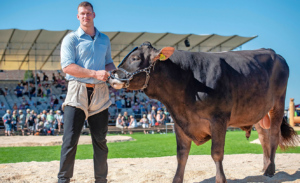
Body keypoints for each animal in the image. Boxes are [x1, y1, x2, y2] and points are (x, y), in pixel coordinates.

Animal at [108, 41, 298, 183]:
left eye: (135, 57)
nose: (112, 75)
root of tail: (275, 53)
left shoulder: (219, 119)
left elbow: (216, 153)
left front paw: (221, 179)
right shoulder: (180, 122)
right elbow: (181, 155)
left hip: (278, 104)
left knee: (273, 135)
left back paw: (271, 169)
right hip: (258, 112)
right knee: (264, 137)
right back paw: (265, 168)